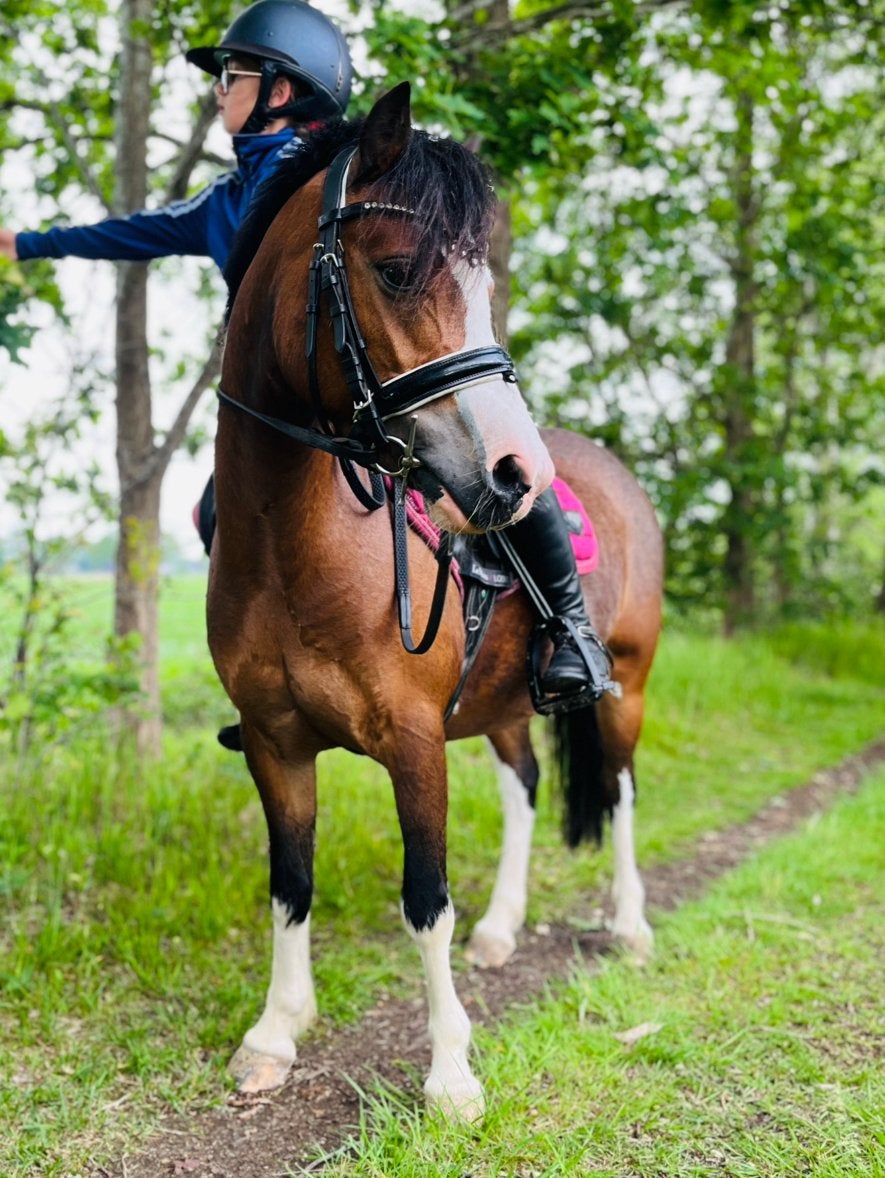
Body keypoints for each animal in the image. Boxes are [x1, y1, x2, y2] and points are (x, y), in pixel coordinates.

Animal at [207, 82, 663, 1121]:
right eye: (399, 270)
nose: (517, 475)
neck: (290, 553)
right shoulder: (274, 743)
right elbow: (289, 883)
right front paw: (274, 1034)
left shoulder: (413, 743)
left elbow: (426, 901)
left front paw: (451, 1075)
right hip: (500, 704)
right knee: (527, 786)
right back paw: (504, 928)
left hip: (624, 681)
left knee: (618, 790)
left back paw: (629, 925)